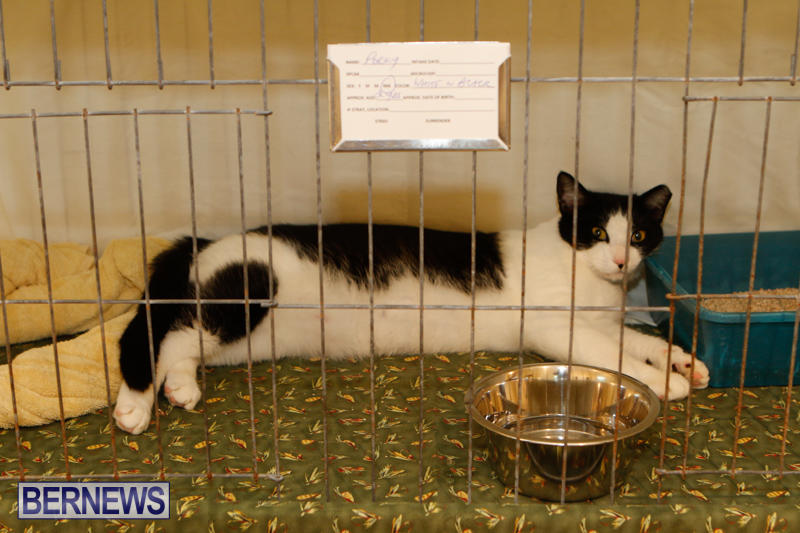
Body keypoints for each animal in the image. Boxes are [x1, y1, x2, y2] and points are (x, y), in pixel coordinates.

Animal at [113, 171, 709, 434]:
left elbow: (632, 338)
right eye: (595, 231)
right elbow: (612, 356)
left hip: (250, 338)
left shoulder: (601, 321)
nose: (620, 262)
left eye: (639, 235)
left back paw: (178, 388)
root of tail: (206, 242)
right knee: (158, 333)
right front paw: (662, 382)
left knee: (180, 343)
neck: (589, 280)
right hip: (252, 287)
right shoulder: (553, 327)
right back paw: (135, 405)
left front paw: (682, 361)